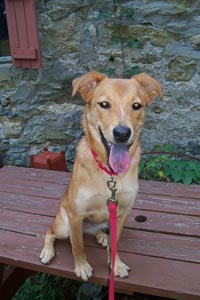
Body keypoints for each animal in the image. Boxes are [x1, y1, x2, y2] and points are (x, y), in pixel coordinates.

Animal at [40, 70, 162, 282]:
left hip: (104, 221)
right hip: (64, 225)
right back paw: (48, 251)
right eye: (104, 104)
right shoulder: (76, 215)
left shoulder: (121, 214)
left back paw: (102, 237)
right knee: (51, 232)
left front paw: (115, 264)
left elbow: (115, 244)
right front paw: (81, 266)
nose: (122, 133)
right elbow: (78, 246)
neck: (110, 174)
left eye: (136, 106)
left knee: (97, 232)